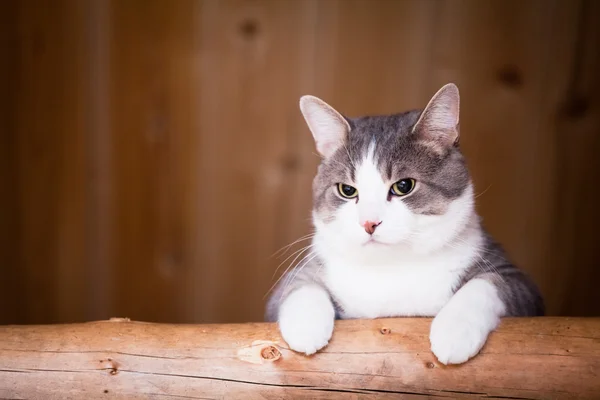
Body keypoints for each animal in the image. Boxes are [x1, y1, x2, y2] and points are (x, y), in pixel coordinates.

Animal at [264, 83, 548, 364]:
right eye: (347, 190)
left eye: (403, 186)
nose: (369, 223)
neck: (393, 269)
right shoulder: (296, 281)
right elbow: (300, 285)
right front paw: (305, 328)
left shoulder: (520, 284)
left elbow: (487, 284)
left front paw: (455, 331)